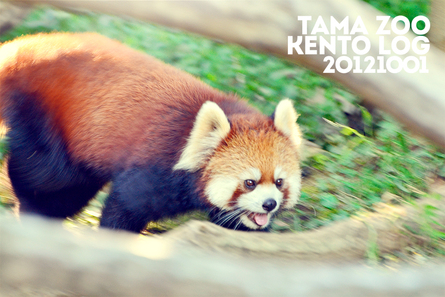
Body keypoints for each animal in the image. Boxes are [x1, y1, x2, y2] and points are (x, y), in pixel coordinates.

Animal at [0, 31, 302, 231]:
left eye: (279, 182)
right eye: (249, 182)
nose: (269, 204)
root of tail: (19, 47)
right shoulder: (154, 166)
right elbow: (125, 207)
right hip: (40, 113)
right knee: (51, 184)